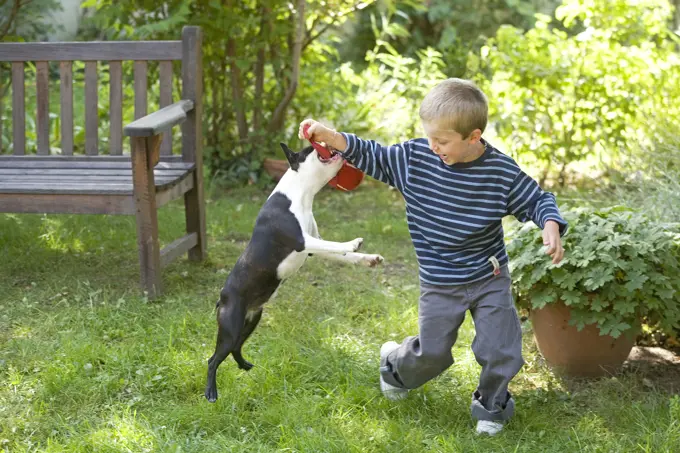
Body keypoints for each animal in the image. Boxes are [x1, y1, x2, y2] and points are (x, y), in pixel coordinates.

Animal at [205, 142, 380, 402]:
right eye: (310, 148)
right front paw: (352, 243)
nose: (327, 143)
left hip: (252, 319)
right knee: (213, 359)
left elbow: (340, 253)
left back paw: (245, 366)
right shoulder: (303, 241)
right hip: (230, 326)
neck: (302, 193)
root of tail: (222, 298)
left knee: (236, 348)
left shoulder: (314, 246)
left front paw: (369, 259)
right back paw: (211, 392)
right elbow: (336, 245)